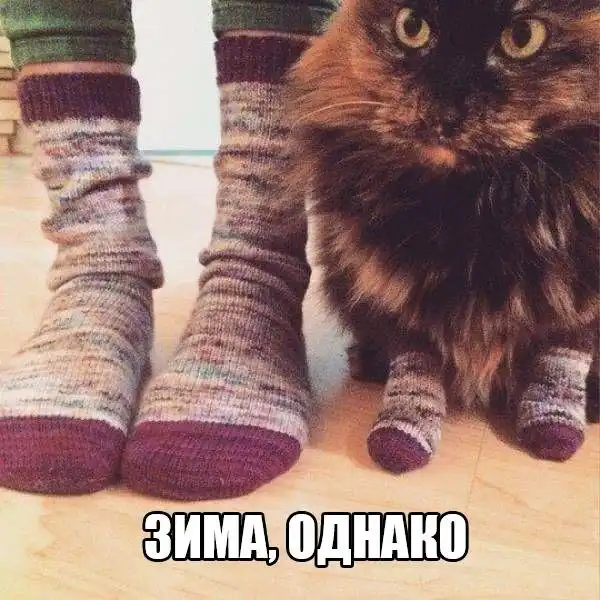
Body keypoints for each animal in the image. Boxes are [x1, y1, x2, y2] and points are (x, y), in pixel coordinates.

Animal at [286, 0, 599, 471]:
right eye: (412, 27)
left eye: (523, 37)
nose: (445, 115)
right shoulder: (394, 298)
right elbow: (416, 365)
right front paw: (403, 433)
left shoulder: (579, 309)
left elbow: (561, 359)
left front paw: (555, 426)